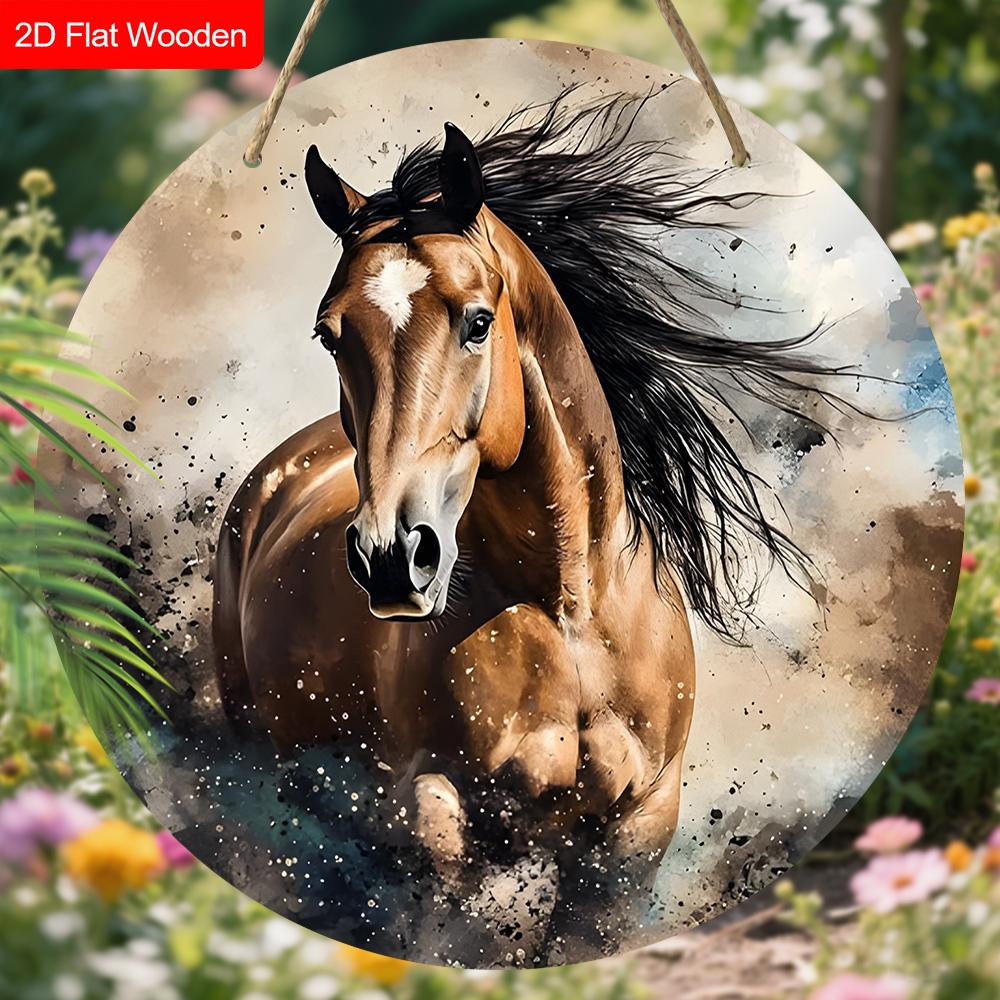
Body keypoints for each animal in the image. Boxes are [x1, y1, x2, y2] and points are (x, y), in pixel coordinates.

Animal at [213, 91, 836, 958]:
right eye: (329, 334)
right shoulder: (440, 813)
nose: (391, 556)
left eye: (478, 321)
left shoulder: (634, 835)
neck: (567, 608)